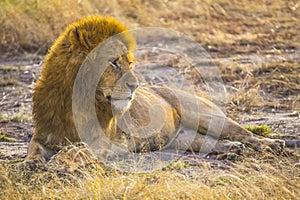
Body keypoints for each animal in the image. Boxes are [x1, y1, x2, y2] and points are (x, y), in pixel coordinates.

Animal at [24, 15, 284, 166]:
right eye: (114, 62)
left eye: (129, 63)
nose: (135, 85)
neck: (74, 101)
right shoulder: (44, 134)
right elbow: (33, 149)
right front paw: (31, 163)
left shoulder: (107, 141)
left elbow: (78, 150)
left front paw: (59, 161)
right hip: (181, 138)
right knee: (208, 142)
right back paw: (231, 150)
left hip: (203, 115)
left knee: (244, 133)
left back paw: (270, 145)